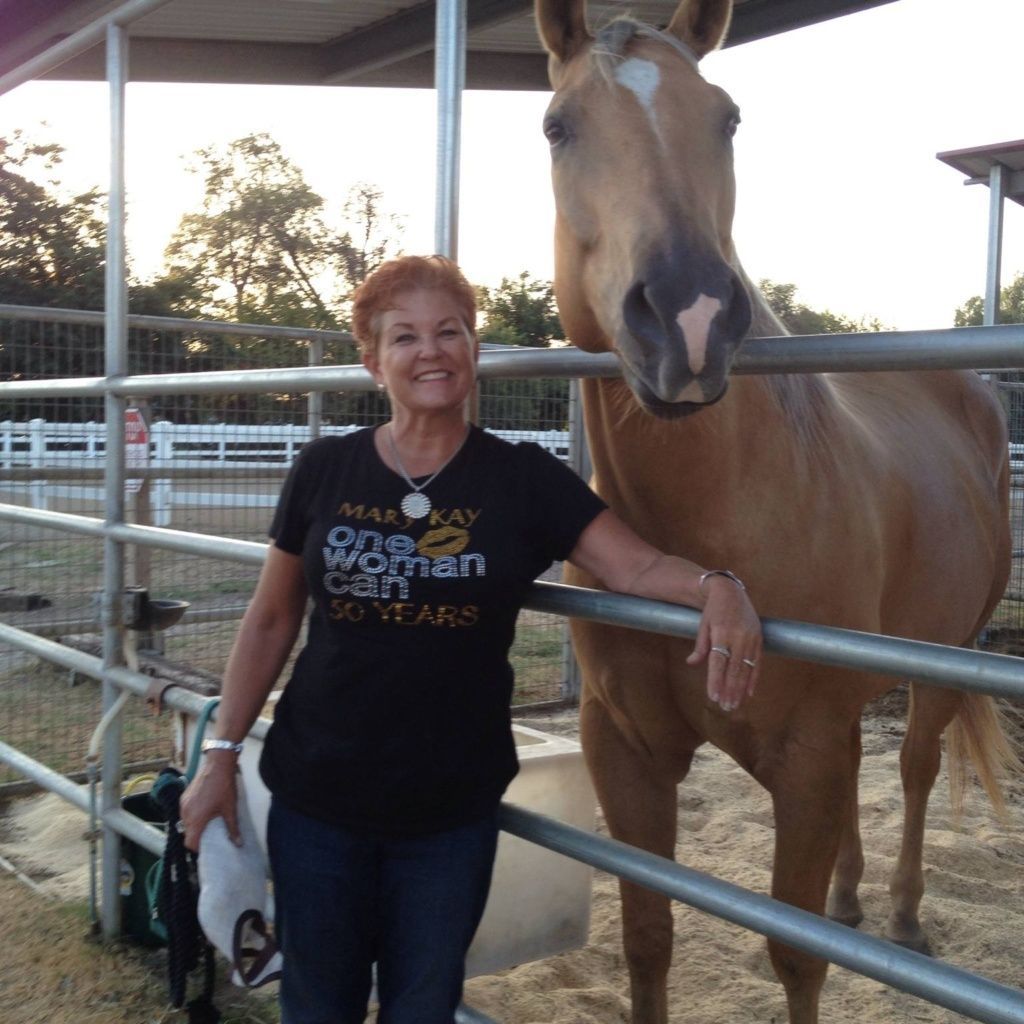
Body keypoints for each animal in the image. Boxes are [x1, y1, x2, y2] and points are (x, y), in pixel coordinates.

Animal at [534, 1, 1016, 1021]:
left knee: (914, 767)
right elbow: (646, 939)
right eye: (558, 127)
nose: (687, 317)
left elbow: (796, 958)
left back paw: (903, 914)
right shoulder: (624, 750)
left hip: (946, 655)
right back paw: (851, 897)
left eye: (728, 117)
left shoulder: (806, 755)